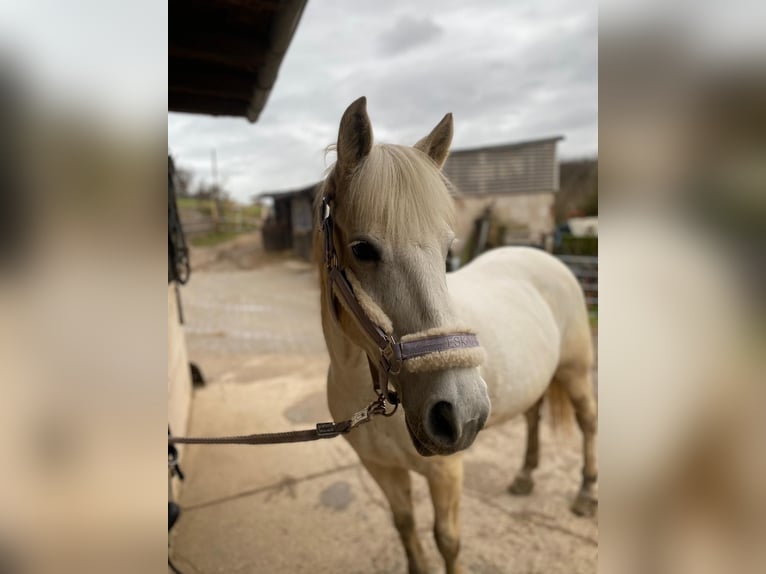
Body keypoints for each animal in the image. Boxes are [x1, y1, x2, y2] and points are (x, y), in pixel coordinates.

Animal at [314, 97, 597, 574]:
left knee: (588, 422)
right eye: (361, 249)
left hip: (575, 373)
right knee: (533, 416)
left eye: (448, 249)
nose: (462, 414)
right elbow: (405, 525)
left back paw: (587, 493)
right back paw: (525, 476)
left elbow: (446, 539)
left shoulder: (445, 473)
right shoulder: (381, 469)